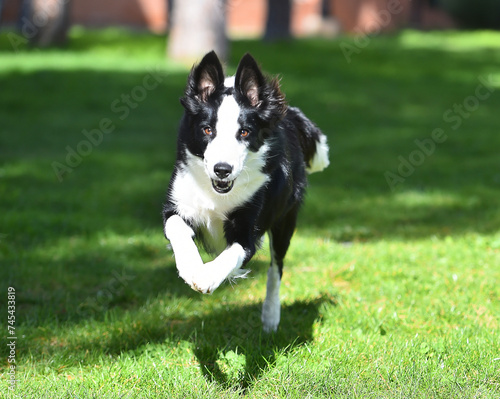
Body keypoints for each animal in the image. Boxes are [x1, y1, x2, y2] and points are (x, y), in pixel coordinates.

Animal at [162, 50, 330, 332]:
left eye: (244, 132)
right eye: (207, 130)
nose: (222, 169)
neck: (218, 194)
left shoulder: (249, 230)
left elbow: (233, 254)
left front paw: (207, 277)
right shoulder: (177, 203)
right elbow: (176, 227)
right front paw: (189, 267)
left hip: (285, 220)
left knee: (276, 269)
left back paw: (271, 317)